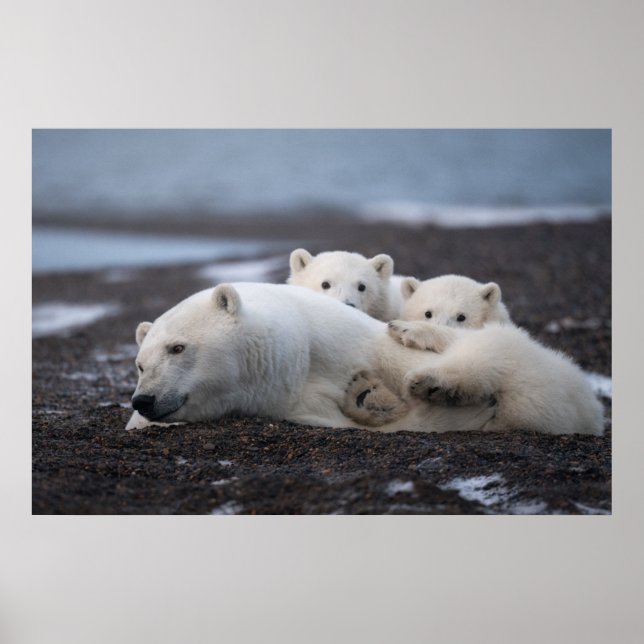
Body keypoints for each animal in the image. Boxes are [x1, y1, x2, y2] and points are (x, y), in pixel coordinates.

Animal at [342, 274, 604, 435]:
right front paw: (367, 394)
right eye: (428, 312)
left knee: (480, 356)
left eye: (462, 316)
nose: (426, 321)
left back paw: (426, 381)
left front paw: (406, 329)